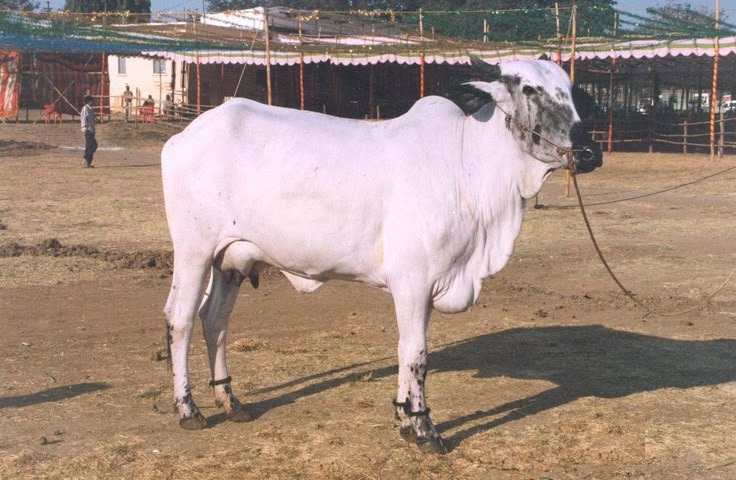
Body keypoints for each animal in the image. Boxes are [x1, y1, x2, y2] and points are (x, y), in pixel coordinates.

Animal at [161, 58, 602, 454]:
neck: (468, 170)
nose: (589, 152)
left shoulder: (425, 287)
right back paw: (188, 409)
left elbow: (405, 349)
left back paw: (230, 401)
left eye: (570, 89)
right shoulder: (413, 281)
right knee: (181, 319)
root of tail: (185, 136)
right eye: (529, 89)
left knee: (214, 321)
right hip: (194, 251)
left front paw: (405, 418)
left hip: (230, 261)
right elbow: (417, 354)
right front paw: (424, 429)